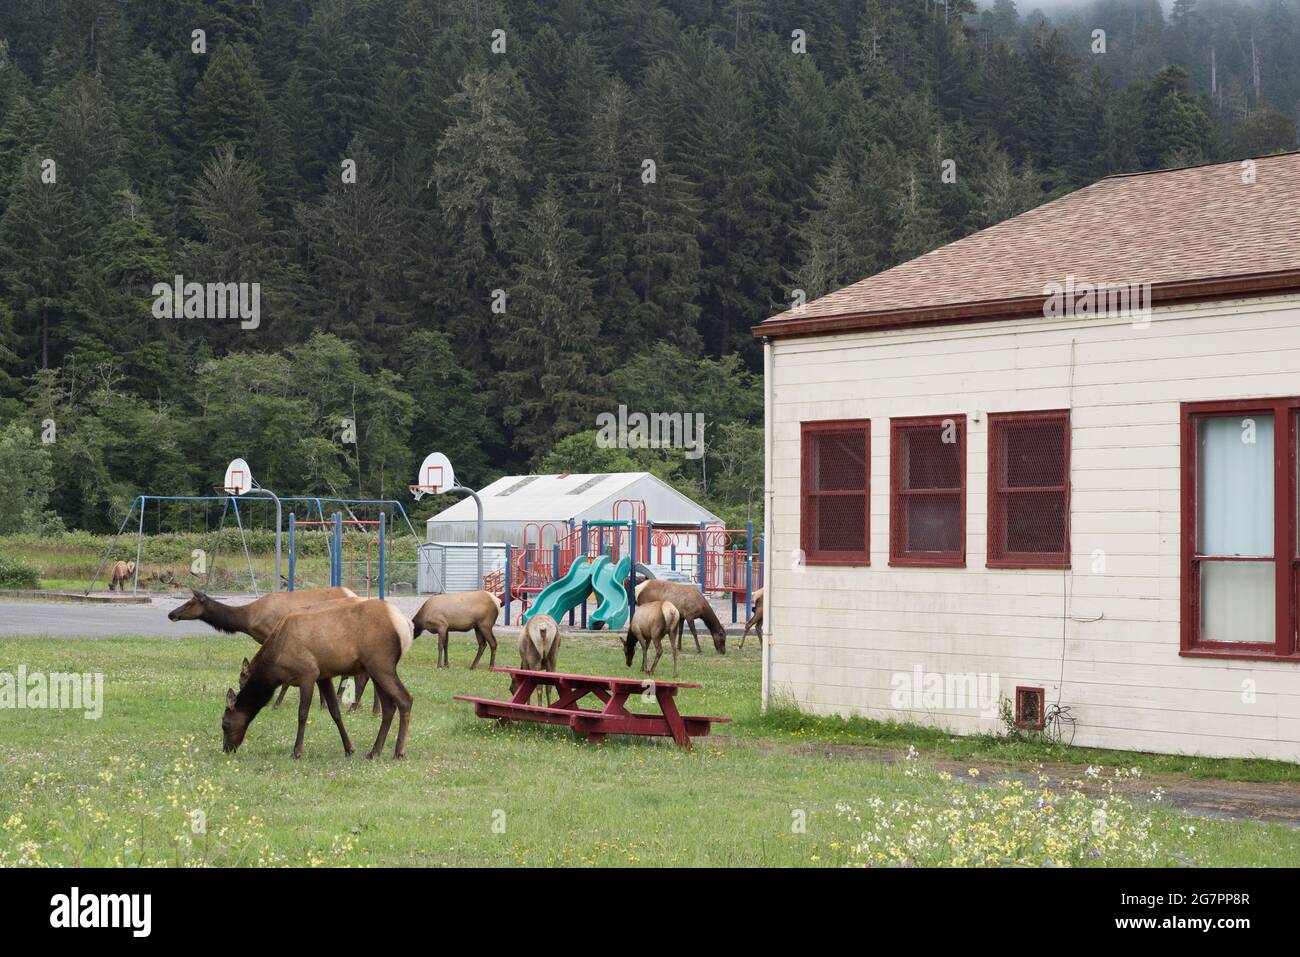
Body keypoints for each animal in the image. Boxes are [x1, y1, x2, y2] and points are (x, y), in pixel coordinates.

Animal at [218, 598, 410, 764]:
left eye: (225, 724)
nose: (226, 749)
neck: (275, 665)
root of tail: (404, 624)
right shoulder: (323, 676)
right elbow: (335, 711)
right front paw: (349, 748)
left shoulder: (308, 674)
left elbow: (302, 714)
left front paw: (296, 752)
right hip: (375, 668)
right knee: (389, 707)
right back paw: (374, 751)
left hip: (381, 664)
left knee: (405, 699)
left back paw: (399, 752)